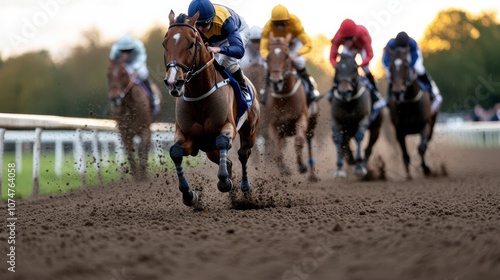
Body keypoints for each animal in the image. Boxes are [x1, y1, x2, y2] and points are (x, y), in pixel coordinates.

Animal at [163, 10, 260, 207]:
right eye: (164, 43)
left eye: (191, 44)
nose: (173, 82)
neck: (199, 94)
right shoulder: (188, 138)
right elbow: (175, 152)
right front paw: (189, 195)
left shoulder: (227, 127)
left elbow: (223, 141)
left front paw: (223, 182)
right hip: (209, 149)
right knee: (228, 161)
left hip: (249, 131)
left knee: (243, 153)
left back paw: (244, 187)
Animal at [264, 32, 318, 182]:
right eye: (268, 57)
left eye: (287, 56)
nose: (276, 82)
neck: (284, 97)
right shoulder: (273, 125)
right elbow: (277, 150)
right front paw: (284, 169)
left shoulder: (301, 118)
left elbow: (299, 142)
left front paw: (302, 166)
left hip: (312, 123)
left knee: (309, 142)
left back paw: (312, 174)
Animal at [384, 47, 440, 178]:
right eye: (390, 67)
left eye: (405, 65)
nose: (398, 92)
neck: (409, 102)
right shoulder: (399, 131)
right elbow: (405, 153)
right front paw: (408, 174)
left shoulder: (425, 125)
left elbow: (421, 148)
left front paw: (425, 168)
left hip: (432, 124)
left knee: (426, 143)